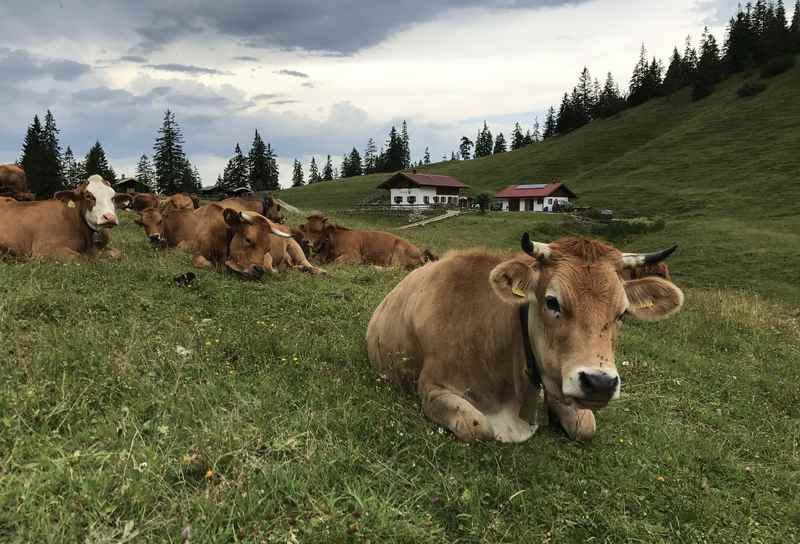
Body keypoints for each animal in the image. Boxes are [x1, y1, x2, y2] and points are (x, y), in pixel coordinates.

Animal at [0, 174, 133, 260]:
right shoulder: (43, 249)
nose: (109, 217)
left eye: (113, 197)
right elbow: (80, 258)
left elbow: (117, 253)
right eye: (88, 196)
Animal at [300, 212, 438, 268]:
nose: (305, 241)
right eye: (305, 229)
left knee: (395, 268)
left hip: (399, 249)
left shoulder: (354, 256)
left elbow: (336, 262)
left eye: (317, 230)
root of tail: (421, 253)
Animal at [366, 234, 684, 442]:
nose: (600, 383)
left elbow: (585, 426)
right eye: (552, 302)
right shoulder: (432, 387)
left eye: (622, 313)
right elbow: (477, 426)